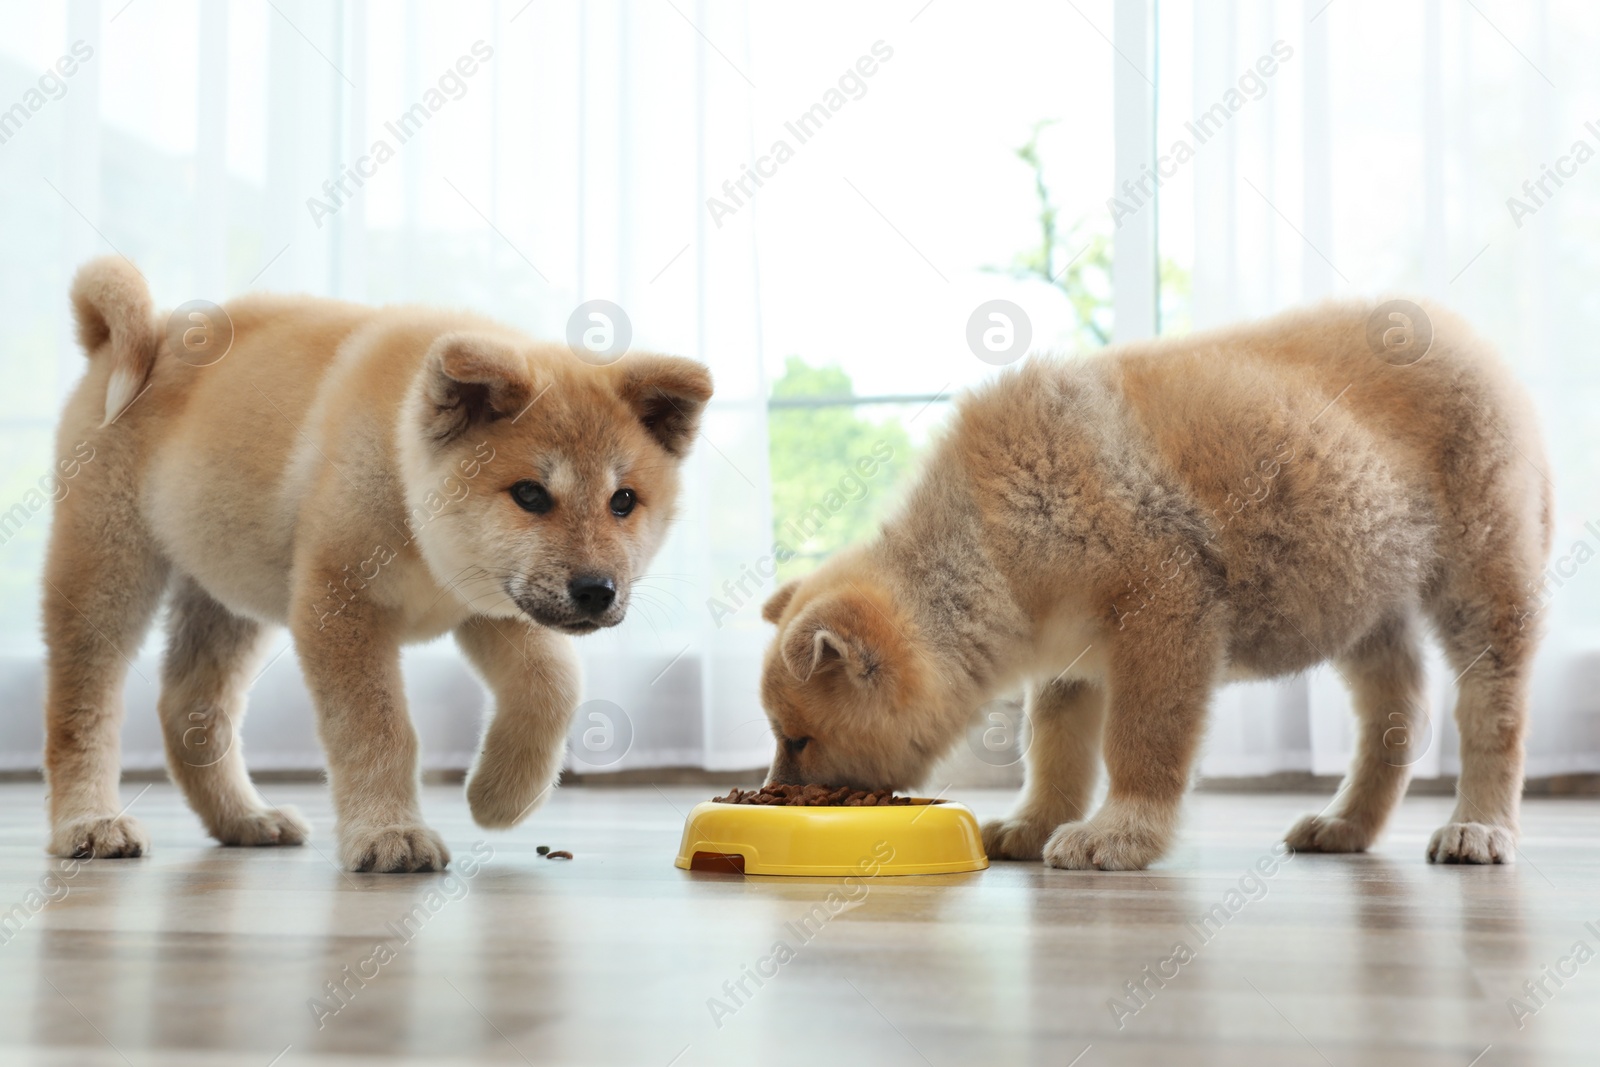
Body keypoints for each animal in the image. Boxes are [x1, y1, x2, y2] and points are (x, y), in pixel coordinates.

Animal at [46, 259, 710, 870]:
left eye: (622, 501)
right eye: (529, 495)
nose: (597, 590)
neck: (403, 475)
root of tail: (141, 335)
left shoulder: (489, 605)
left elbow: (555, 687)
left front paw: (500, 795)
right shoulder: (339, 609)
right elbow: (379, 728)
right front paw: (390, 832)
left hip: (225, 591)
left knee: (189, 707)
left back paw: (244, 819)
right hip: (108, 571)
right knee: (82, 704)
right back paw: (90, 821)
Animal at [758, 300, 1548, 870]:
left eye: (797, 739)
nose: (770, 794)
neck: (992, 543)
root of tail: (1471, 336)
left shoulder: (1166, 607)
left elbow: (1141, 740)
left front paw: (1118, 831)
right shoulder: (1070, 657)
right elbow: (1058, 750)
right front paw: (1035, 821)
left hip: (1483, 581)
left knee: (1494, 712)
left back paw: (1478, 826)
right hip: (1361, 595)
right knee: (1398, 711)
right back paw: (1346, 822)